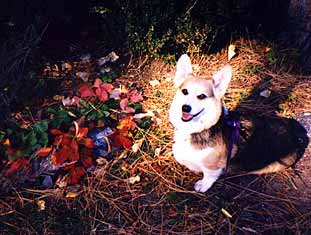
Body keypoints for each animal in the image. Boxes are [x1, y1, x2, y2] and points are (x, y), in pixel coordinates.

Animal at [171, 54, 310, 192]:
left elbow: (209, 175)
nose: (185, 108)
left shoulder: (213, 167)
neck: (201, 129)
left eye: (201, 96)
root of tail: (297, 137)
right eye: (185, 91)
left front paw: (203, 185)